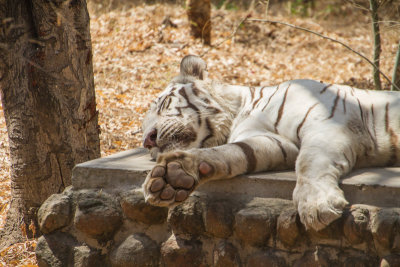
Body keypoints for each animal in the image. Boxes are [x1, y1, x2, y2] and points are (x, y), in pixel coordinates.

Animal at [141, 55, 400, 231]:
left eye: (162, 105)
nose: (147, 140)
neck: (240, 110)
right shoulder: (274, 142)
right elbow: (231, 153)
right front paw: (173, 176)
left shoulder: (327, 123)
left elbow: (310, 161)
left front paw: (316, 205)